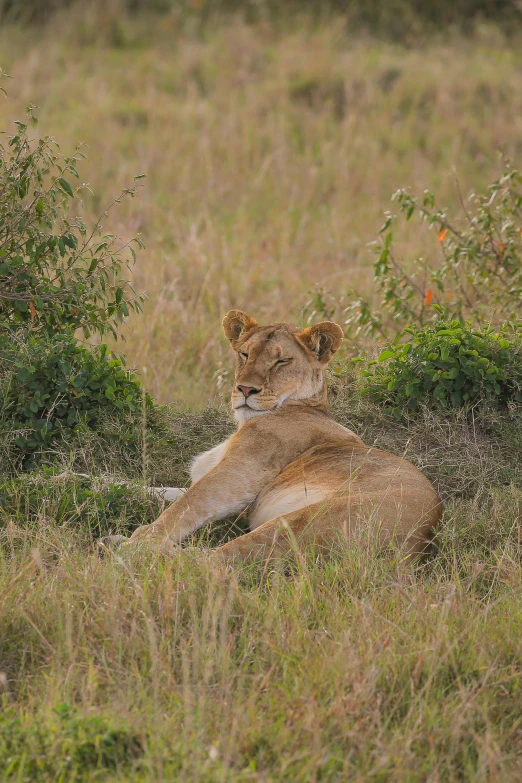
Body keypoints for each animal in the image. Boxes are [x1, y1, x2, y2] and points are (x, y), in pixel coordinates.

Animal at [110, 312, 438, 564]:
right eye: (245, 354)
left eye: (281, 362)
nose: (245, 389)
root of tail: (421, 545)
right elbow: (154, 491)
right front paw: (98, 482)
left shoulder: (242, 472)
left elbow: (185, 506)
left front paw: (141, 539)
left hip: (299, 523)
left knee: (215, 561)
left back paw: (122, 548)